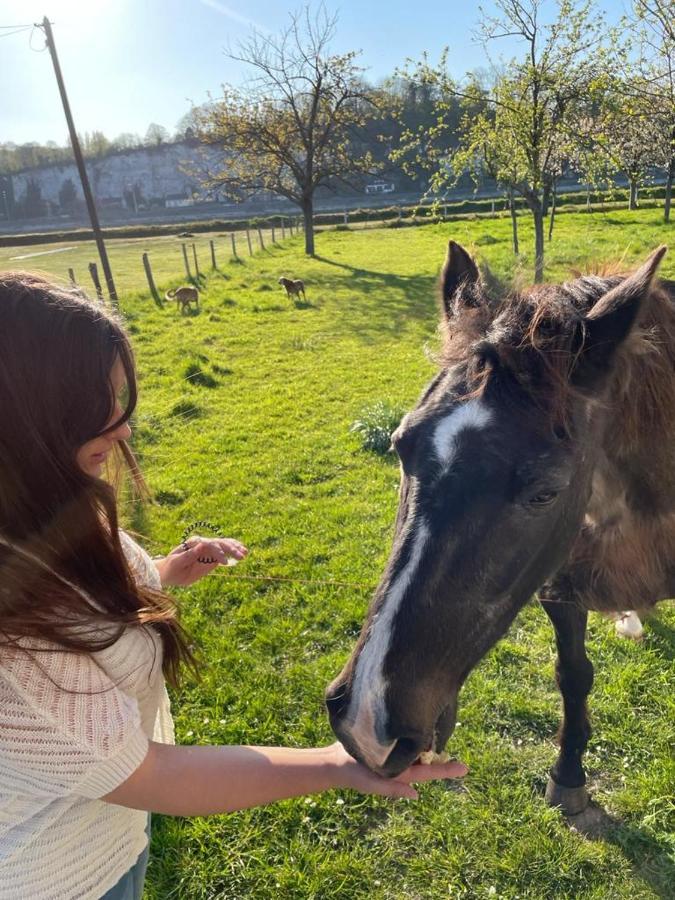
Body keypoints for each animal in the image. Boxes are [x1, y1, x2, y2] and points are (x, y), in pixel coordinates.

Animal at [326, 239, 672, 816]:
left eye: (545, 491)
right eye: (399, 446)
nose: (367, 723)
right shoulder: (558, 584)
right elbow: (573, 674)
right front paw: (569, 772)